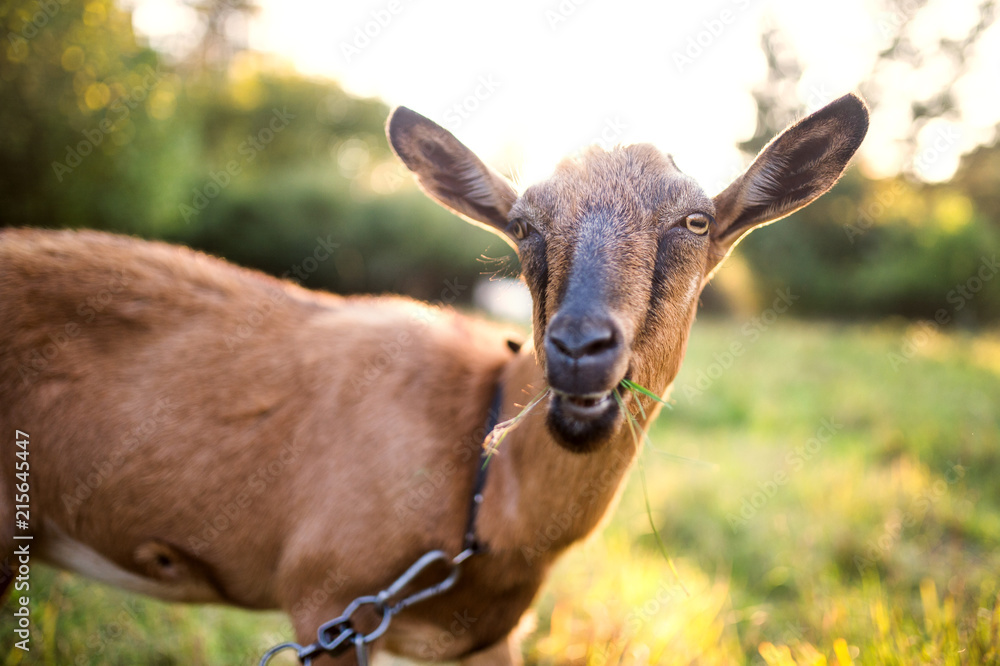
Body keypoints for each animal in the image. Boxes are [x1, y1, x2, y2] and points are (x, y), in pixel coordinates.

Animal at [0, 92, 868, 660]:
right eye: (522, 226)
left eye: (695, 221)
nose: (579, 345)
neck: (486, 496)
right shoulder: (326, 602)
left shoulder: (483, 640)